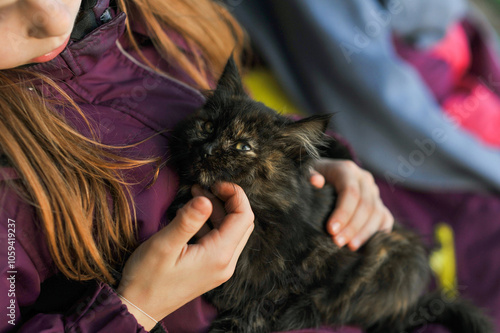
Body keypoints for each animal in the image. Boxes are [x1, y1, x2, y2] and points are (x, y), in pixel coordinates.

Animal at [168, 57, 492, 332]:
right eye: (207, 126)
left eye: (243, 146)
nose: (206, 149)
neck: (262, 215)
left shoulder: (318, 263)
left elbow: (264, 304)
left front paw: (235, 322)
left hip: (398, 254)